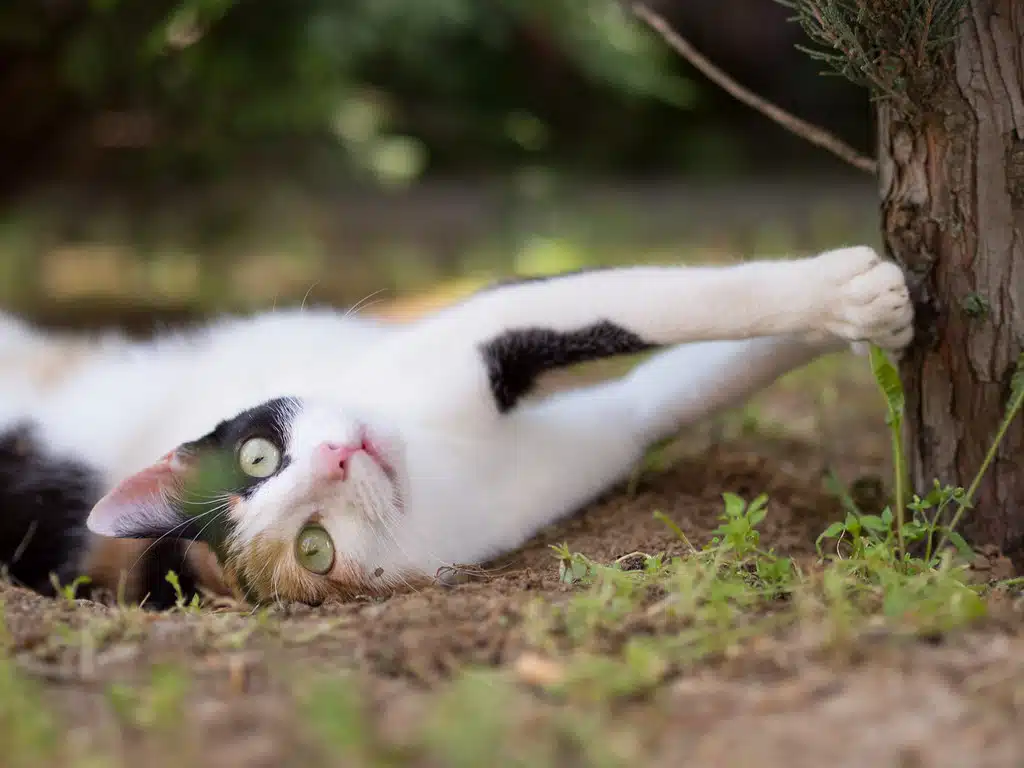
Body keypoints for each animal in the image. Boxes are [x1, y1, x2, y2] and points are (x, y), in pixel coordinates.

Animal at [0, 246, 913, 606]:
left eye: (257, 457)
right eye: (314, 549)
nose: (339, 453)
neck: (443, 460)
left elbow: (677, 343)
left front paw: (840, 313)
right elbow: (668, 324)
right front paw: (859, 301)